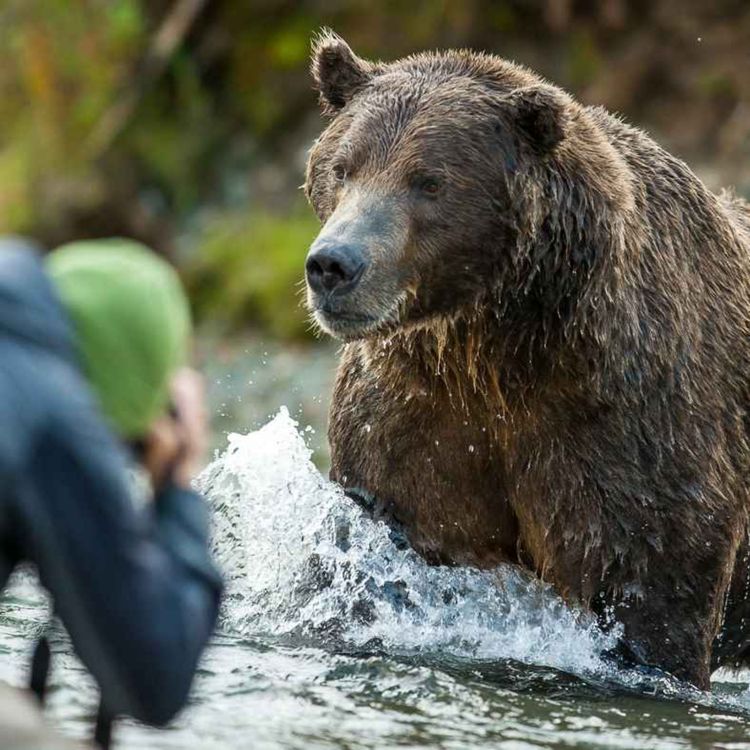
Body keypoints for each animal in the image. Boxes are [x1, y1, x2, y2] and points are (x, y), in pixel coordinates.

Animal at [302, 30, 748, 692]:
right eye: (342, 167)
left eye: (428, 180)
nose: (334, 264)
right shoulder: (416, 417)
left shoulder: (634, 418)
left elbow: (654, 581)